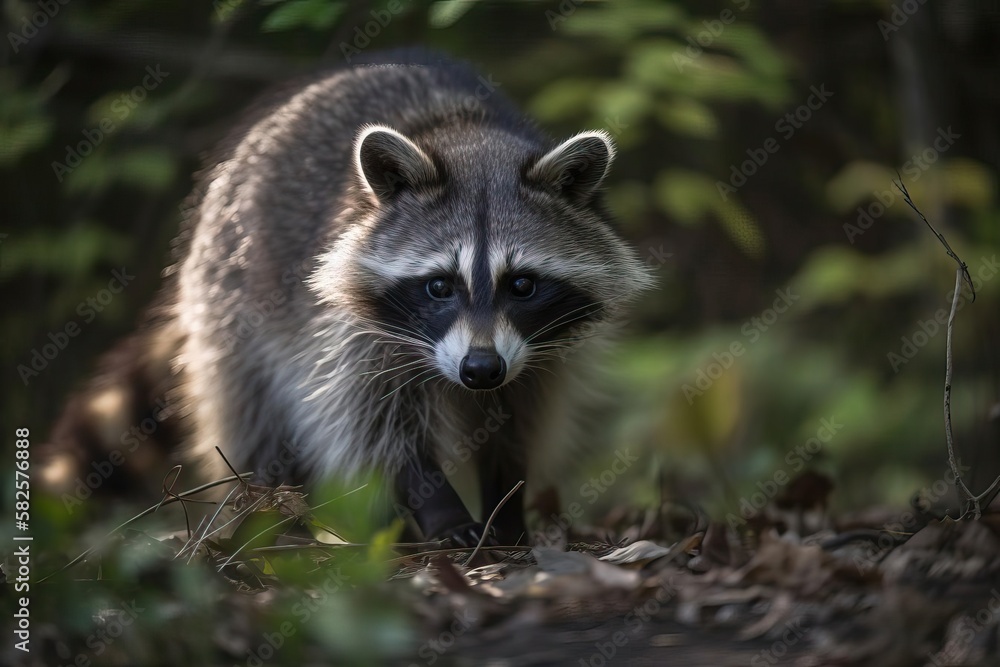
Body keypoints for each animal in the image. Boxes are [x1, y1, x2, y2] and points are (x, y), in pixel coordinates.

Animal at [45, 51, 656, 544]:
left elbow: (519, 419)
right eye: (440, 285)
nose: (481, 370)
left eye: (522, 284)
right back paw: (277, 522)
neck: (468, 135)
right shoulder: (347, 329)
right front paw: (437, 504)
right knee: (255, 422)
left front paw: (507, 501)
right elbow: (372, 423)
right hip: (229, 303)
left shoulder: (543, 353)